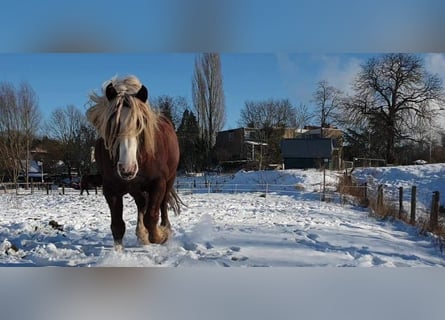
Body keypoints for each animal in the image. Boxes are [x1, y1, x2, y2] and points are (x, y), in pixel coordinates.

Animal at [86, 75, 180, 250]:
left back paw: (164, 229)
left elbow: (152, 217)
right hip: (135, 188)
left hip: (169, 180)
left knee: (162, 205)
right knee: (141, 204)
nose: (127, 169)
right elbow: (117, 226)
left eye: (140, 123)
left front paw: (160, 236)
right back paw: (142, 233)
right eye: (112, 124)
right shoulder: (111, 190)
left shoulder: (158, 183)